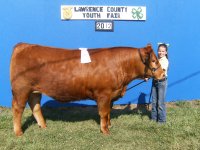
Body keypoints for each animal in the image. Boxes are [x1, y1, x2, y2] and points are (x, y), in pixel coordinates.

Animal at [9, 42, 164, 136]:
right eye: (154, 61)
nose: (163, 74)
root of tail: (24, 45)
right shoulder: (104, 94)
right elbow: (104, 113)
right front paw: (105, 130)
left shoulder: (111, 95)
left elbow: (108, 112)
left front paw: (109, 125)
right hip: (21, 89)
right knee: (18, 108)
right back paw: (18, 132)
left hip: (35, 91)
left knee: (35, 106)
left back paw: (43, 126)